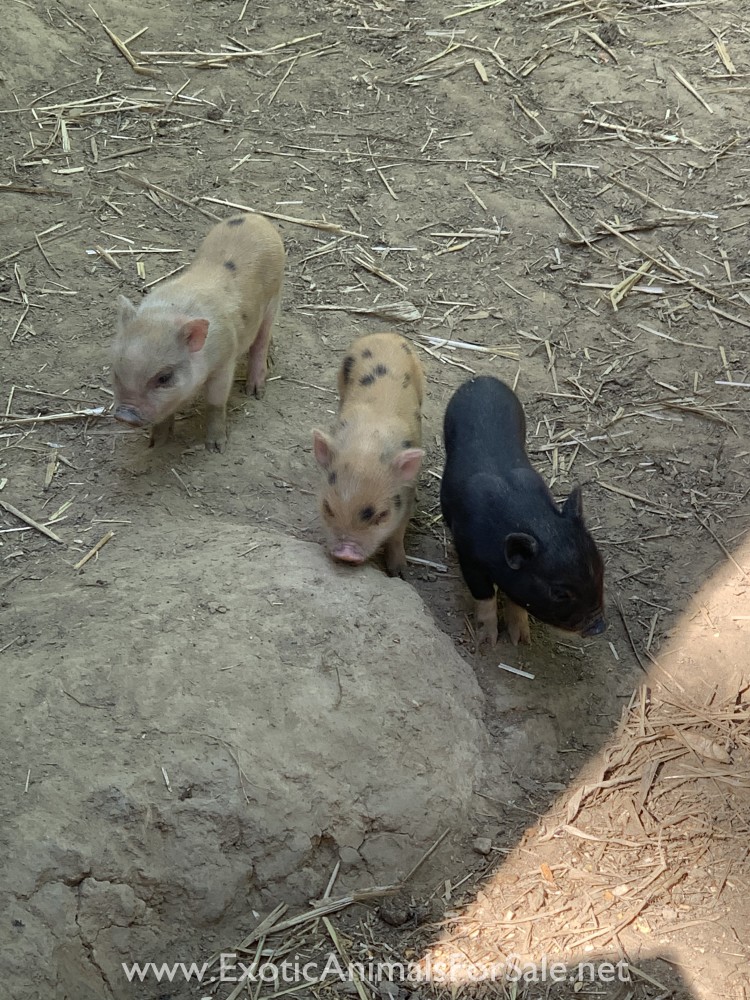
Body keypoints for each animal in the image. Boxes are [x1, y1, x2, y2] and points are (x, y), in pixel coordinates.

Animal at [111, 213, 284, 452]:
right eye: (116, 372)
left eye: (164, 377)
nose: (124, 416)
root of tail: (254, 217)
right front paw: (156, 444)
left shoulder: (224, 362)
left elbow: (215, 403)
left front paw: (216, 447)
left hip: (274, 297)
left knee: (262, 339)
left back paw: (255, 392)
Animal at [312, 332, 425, 578]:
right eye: (327, 507)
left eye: (382, 515)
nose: (346, 554)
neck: (368, 444)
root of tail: (385, 335)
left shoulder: (408, 496)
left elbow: (397, 535)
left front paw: (399, 573)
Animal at [440, 375, 606, 647]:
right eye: (559, 592)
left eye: (601, 568)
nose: (599, 627)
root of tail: (482, 378)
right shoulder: (468, 554)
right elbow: (484, 594)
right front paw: (487, 642)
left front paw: (521, 640)